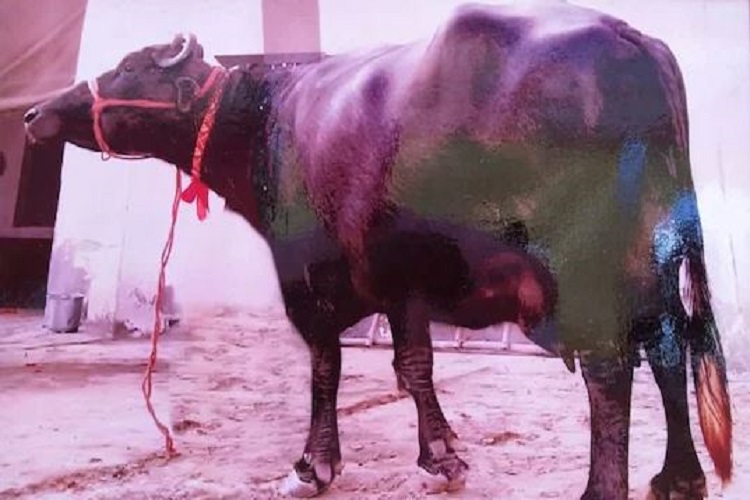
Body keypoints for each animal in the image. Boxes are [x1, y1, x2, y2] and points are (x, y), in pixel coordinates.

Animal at [24, 2, 732, 498]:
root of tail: (633, 40)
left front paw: (318, 464)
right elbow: (406, 365)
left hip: (586, 272)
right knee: (669, 350)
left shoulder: (318, 277)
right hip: (654, 266)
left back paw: (602, 488)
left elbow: (335, 365)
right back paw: (679, 477)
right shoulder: (397, 284)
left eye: (129, 65)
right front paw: (437, 450)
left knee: (612, 369)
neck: (271, 122)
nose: (33, 115)